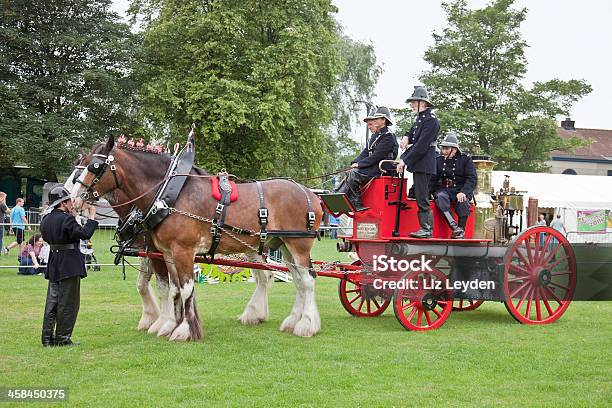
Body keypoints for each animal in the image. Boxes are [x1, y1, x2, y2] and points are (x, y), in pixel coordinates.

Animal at [71, 137, 322, 342]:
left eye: (95, 166)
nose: (74, 199)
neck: (169, 196)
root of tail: (311, 194)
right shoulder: (167, 253)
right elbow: (173, 289)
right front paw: (169, 325)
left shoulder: (183, 250)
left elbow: (185, 289)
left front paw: (184, 330)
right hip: (283, 246)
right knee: (296, 281)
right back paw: (291, 320)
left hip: (298, 245)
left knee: (307, 280)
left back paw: (306, 324)